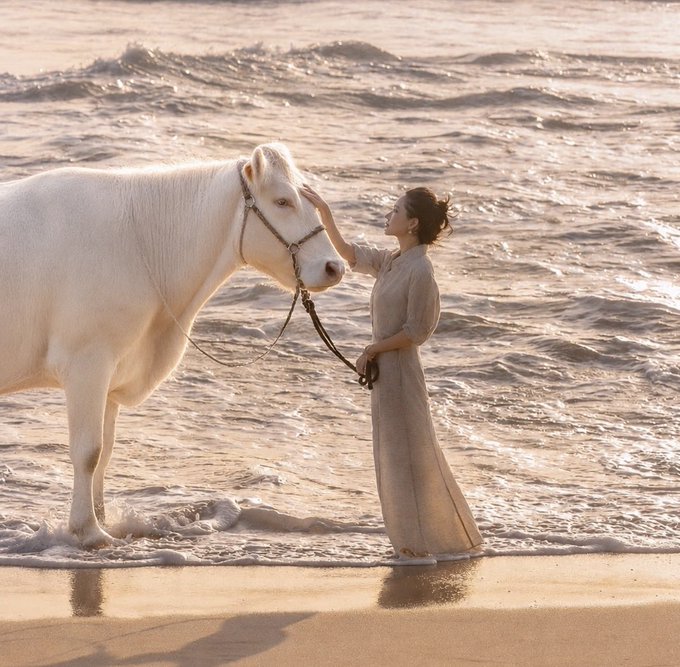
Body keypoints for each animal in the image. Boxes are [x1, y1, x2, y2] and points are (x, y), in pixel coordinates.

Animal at [0, 142, 344, 547]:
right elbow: (88, 450)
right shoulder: (88, 359)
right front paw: (89, 530)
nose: (335, 266)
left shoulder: (115, 366)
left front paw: (103, 518)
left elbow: (106, 450)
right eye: (283, 201)